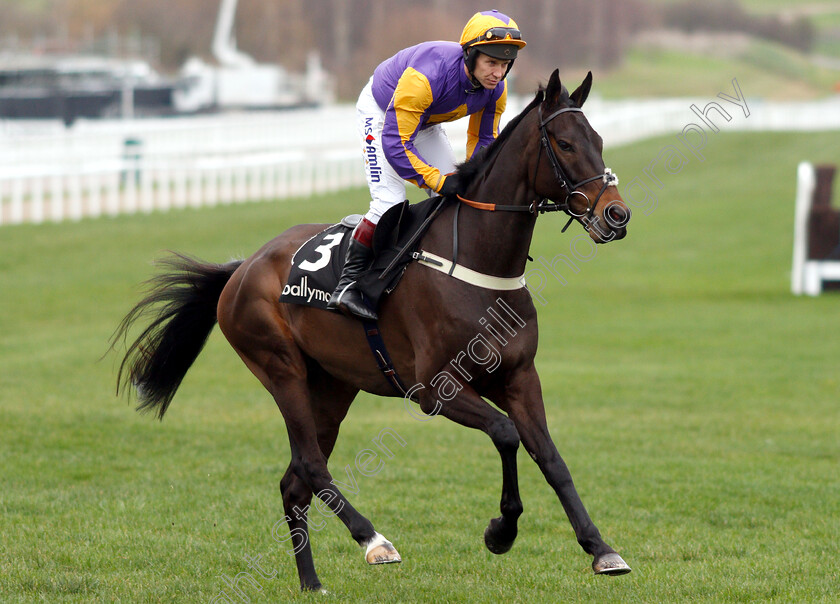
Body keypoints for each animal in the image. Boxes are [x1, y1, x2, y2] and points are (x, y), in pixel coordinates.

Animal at [115, 71, 632, 588]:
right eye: (565, 144)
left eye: (600, 141)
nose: (616, 215)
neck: (478, 264)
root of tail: (242, 268)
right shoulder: (435, 389)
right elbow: (506, 435)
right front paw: (501, 531)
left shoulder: (520, 376)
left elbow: (551, 458)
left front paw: (600, 548)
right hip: (280, 369)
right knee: (310, 464)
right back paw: (374, 540)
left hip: (332, 386)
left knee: (294, 481)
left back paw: (311, 583)